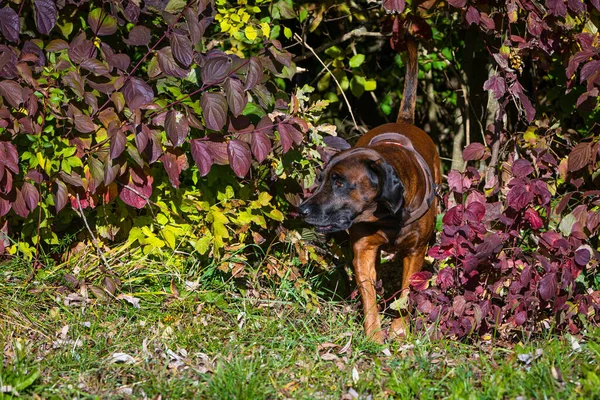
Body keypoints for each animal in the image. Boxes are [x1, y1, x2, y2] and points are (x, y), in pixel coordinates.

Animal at [298, 33, 442, 344]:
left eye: (339, 182)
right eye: (322, 178)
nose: (302, 210)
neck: (388, 214)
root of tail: (404, 121)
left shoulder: (416, 251)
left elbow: (407, 290)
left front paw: (399, 328)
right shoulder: (363, 248)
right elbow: (368, 289)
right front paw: (374, 333)